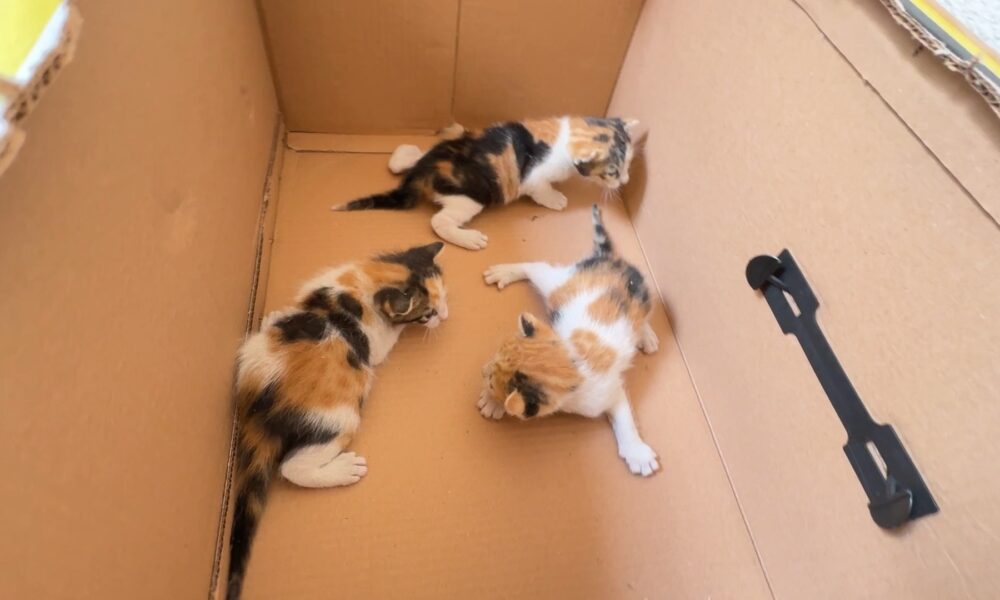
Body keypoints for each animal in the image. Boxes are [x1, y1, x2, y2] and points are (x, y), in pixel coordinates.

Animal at [225, 242, 448, 600]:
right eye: (426, 313)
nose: (444, 315)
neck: (363, 283)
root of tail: (257, 407)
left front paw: (272, 315)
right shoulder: (374, 344)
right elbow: (383, 345)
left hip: (251, 352)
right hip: (340, 417)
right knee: (292, 467)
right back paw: (345, 469)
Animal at [332, 117, 640, 251]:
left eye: (628, 164)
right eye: (612, 172)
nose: (625, 180)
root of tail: (424, 170)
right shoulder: (534, 177)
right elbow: (541, 190)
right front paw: (556, 199)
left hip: (446, 141)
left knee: (400, 161)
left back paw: (405, 151)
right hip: (470, 197)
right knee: (439, 222)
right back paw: (469, 239)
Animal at [478, 205, 660, 476]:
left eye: (491, 382)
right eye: (493, 359)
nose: (482, 372)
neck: (573, 364)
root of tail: (608, 260)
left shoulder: (609, 390)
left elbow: (625, 419)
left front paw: (637, 453)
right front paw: (492, 404)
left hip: (637, 294)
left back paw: (646, 336)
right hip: (559, 283)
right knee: (536, 266)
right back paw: (506, 271)